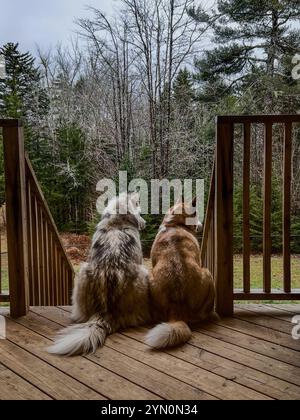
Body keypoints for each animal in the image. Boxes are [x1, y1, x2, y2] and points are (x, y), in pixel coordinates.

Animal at [48, 193, 150, 354]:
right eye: (139, 210)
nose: (144, 222)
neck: (118, 219)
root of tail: (105, 311)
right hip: (144, 274)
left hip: (82, 273)